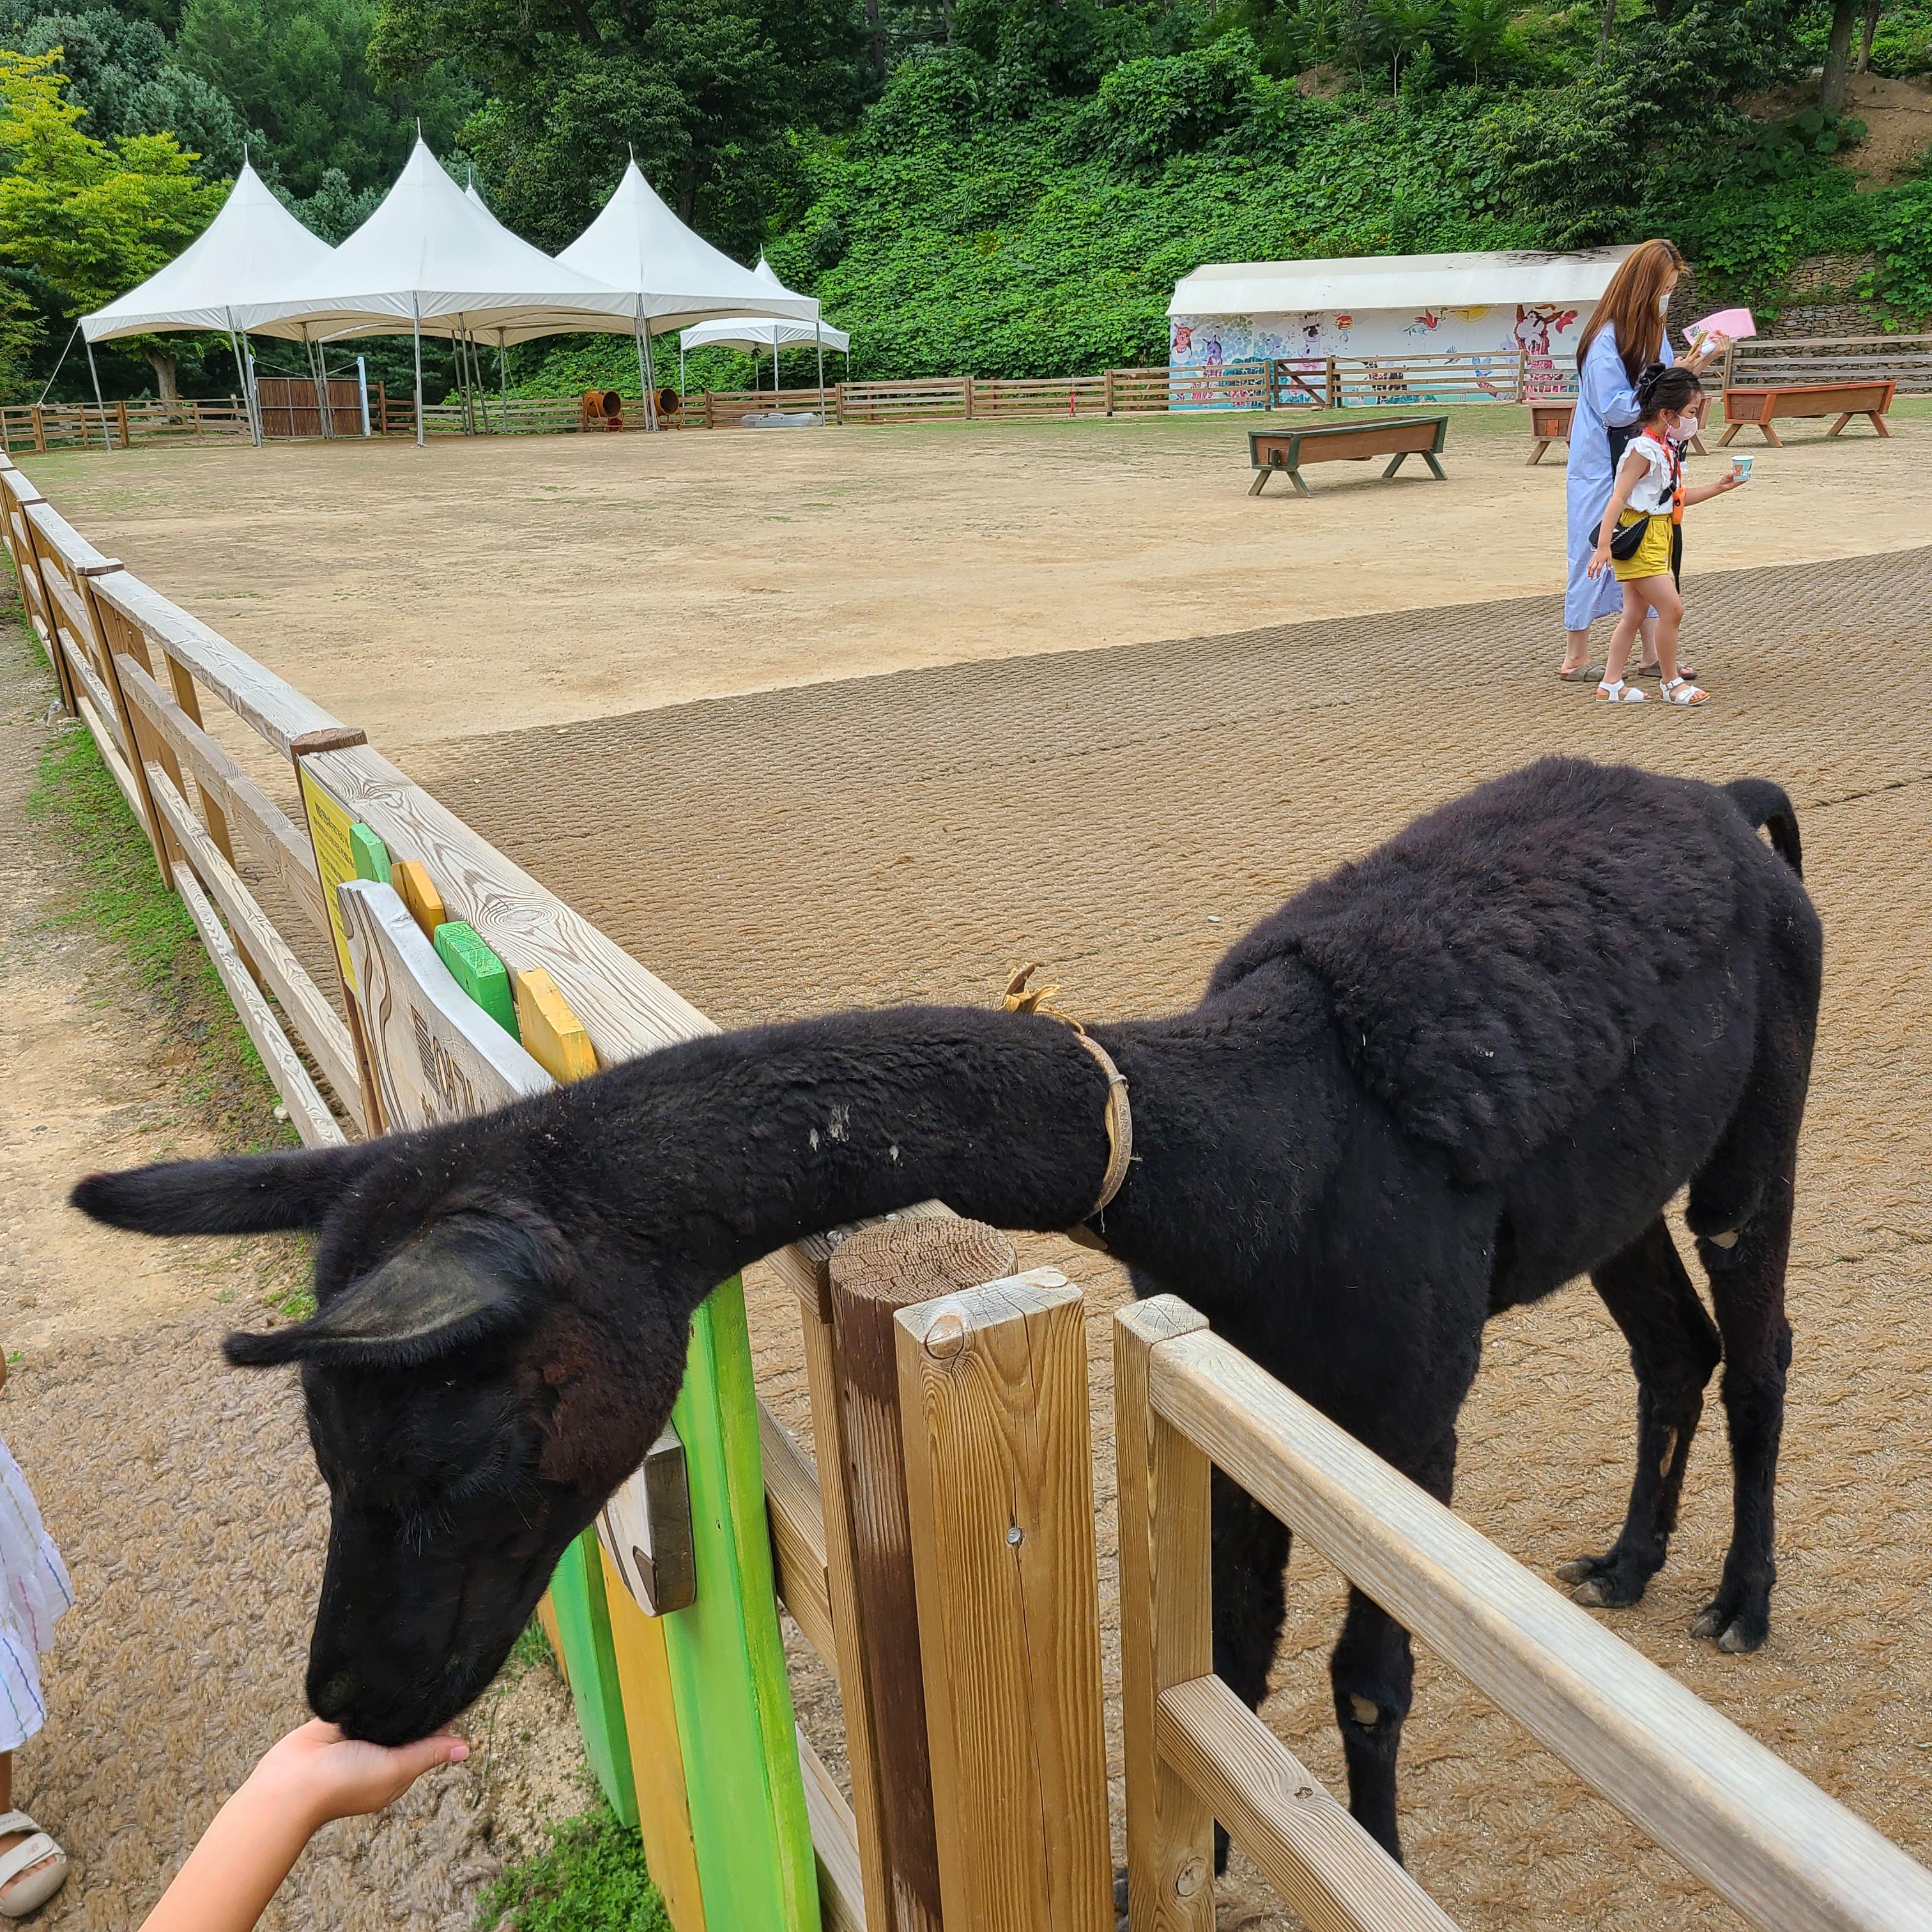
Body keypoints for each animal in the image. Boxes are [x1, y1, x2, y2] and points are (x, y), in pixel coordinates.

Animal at [71, 756, 1820, 1864]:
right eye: (327, 1459)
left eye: (464, 1456)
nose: (352, 1700)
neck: (1274, 1149)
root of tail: (1731, 810)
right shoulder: (1242, 1373)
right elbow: (1234, 1666)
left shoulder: (1402, 1405)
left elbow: (1367, 1680)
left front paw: (1370, 1857)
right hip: (1615, 1192)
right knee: (1671, 1344)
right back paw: (1627, 1561)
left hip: (1761, 1121)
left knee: (1756, 1344)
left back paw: (1738, 1597)